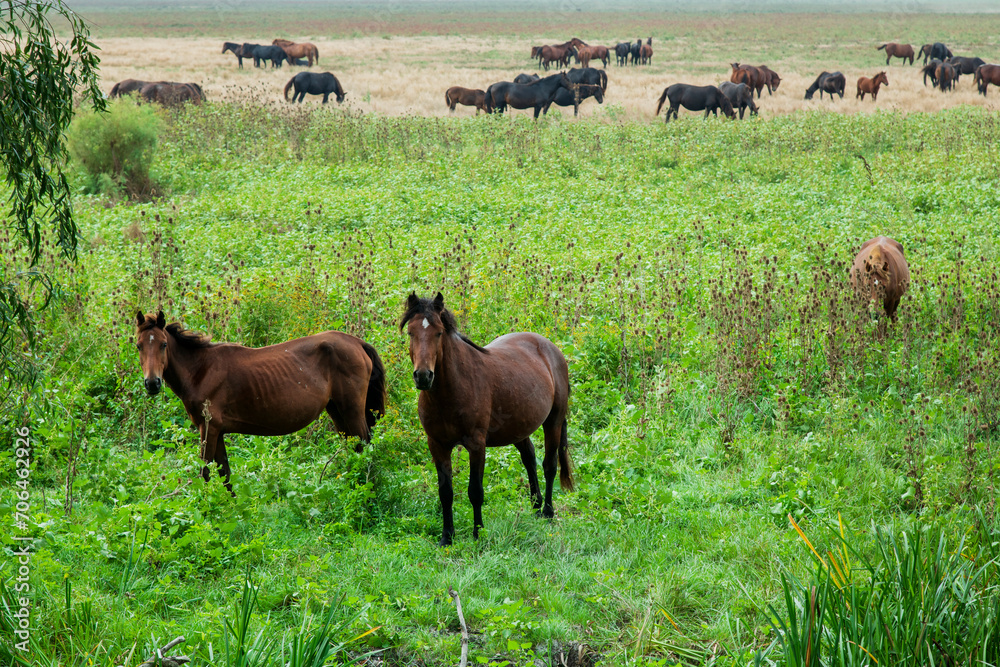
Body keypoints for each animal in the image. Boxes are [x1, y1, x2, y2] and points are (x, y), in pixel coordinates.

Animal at [135, 312, 386, 489]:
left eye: (163, 344)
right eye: (138, 345)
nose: (152, 383)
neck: (201, 370)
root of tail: (357, 343)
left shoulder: (209, 428)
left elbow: (205, 472)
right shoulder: (218, 431)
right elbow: (224, 473)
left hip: (352, 411)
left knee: (365, 445)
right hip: (337, 411)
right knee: (355, 447)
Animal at [400, 293, 573, 547]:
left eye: (439, 333)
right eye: (411, 332)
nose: (423, 376)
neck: (451, 391)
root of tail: (551, 349)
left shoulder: (476, 445)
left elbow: (475, 491)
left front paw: (478, 533)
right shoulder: (437, 445)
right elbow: (446, 493)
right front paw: (447, 537)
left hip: (553, 422)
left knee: (549, 465)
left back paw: (548, 513)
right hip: (518, 428)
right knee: (529, 458)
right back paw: (535, 506)